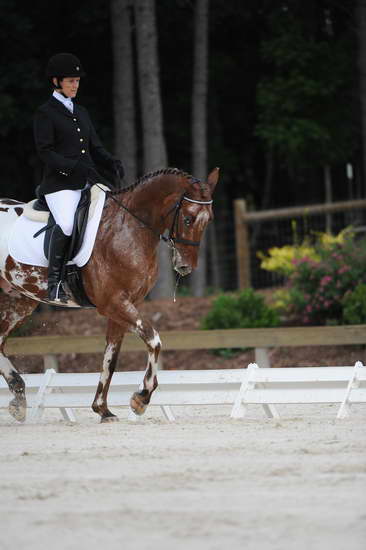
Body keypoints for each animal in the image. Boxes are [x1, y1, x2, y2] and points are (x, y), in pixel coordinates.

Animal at [0, 166, 219, 424]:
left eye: (209, 219)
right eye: (188, 218)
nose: (185, 267)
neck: (129, 228)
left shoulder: (125, 304)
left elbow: (111, 358)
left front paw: (103, 409)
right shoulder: (113, 303)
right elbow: (154, 340)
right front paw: (141, 398)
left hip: (18, 302)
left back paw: (18, 397)